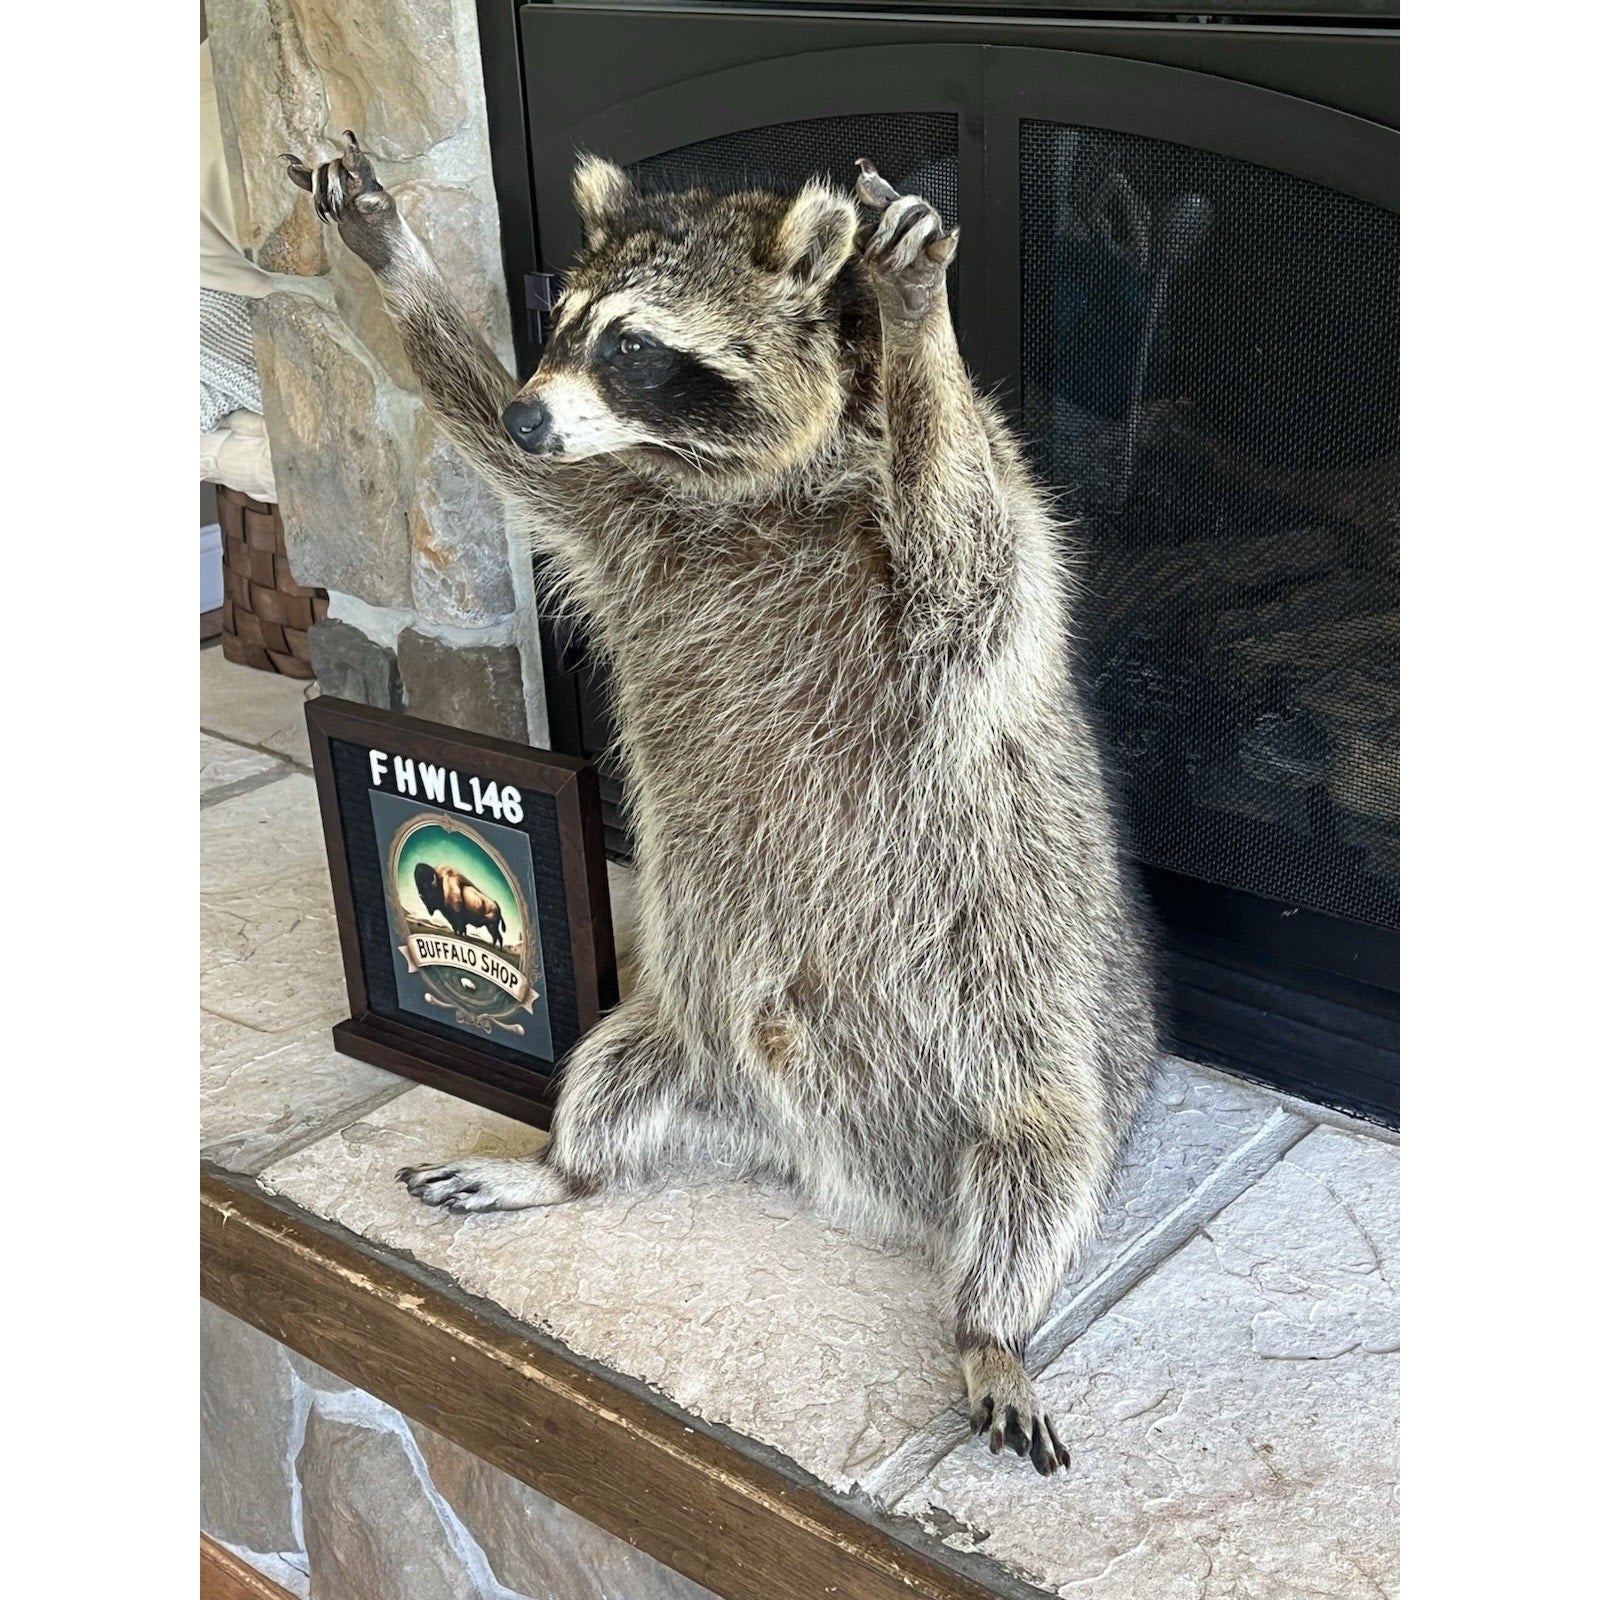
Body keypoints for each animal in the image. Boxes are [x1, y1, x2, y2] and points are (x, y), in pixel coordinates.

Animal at [288, 135, 1157, 1476]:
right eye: (561, 323)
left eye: (634, 347)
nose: (535, 408)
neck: (735, 484)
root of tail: (843, 1171)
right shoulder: (614, 515)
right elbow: (482, 430)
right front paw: (391, 254)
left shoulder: (963, 560)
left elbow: (962, 536)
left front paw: (920, 325)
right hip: (673, 1028)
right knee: (604, 1073)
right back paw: (564, 1164)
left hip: (1034, 1041)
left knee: (1039, 1178)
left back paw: (990, 1321)